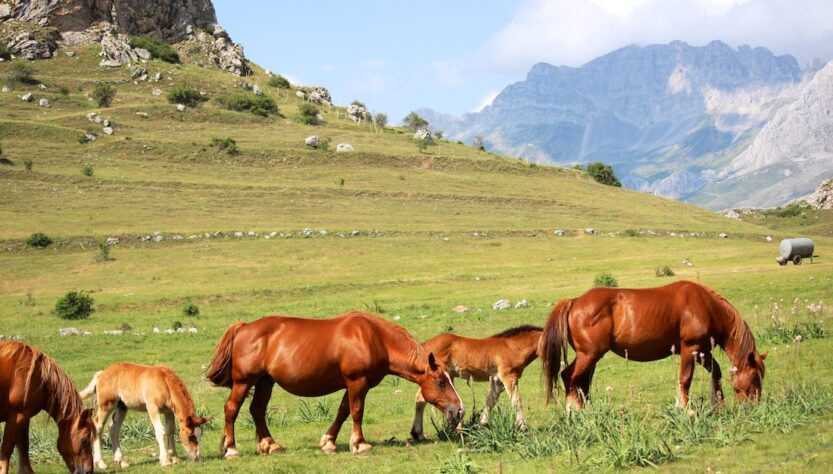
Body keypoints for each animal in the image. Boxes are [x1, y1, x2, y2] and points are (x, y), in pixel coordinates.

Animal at [0, 341, 96, 474]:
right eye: (85, 440)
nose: (89, 471)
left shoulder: (24, 417)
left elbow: (23, 446)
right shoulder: (17, 416)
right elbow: (7, 449)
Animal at [79, 363, 211, 469]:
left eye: (200, 435)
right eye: (190, 436)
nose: (196, 457)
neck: (164, 382)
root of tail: (101, 374)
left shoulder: (168, 411)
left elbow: (170, 430)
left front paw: (174, 458)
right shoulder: (152, 408)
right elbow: (160, 431)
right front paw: (165, 460)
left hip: (122, 407)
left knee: (114, 429)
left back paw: (121, 462)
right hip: (106, 405)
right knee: (98, 427)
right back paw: (101, 463)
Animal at [206, 311, 464, 457]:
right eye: (441, 382)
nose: (459, 410)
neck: (374, 338)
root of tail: (244, 327)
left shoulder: (354, 384)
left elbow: (343, 411)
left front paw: (328, 443)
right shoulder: (357, 382)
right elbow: (357, 411)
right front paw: (360, 444)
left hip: (265, 382)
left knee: (257, 410)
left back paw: (270, 445)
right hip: (244, 382)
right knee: (231, 410)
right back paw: (231, 449)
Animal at [410, 325, 542, 441]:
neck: (512, 347)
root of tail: (424, 345)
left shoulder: (497, 381)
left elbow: (491, 400)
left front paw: (482, 424)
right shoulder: (509, 377)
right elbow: (516, 401)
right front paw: (523, 428)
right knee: (421, 398)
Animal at [538, 280, 767, 411]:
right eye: (754, 377)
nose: (754, 407)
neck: (705, 306)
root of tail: (574, 301)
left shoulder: (702, 351)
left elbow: (716, 372)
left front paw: (718, 404)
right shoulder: (689, 348)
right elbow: (685, 379)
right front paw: (684, 408)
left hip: (589, 356)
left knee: (579, 381)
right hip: (589, 354)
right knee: (571, 378)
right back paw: (574, 412)